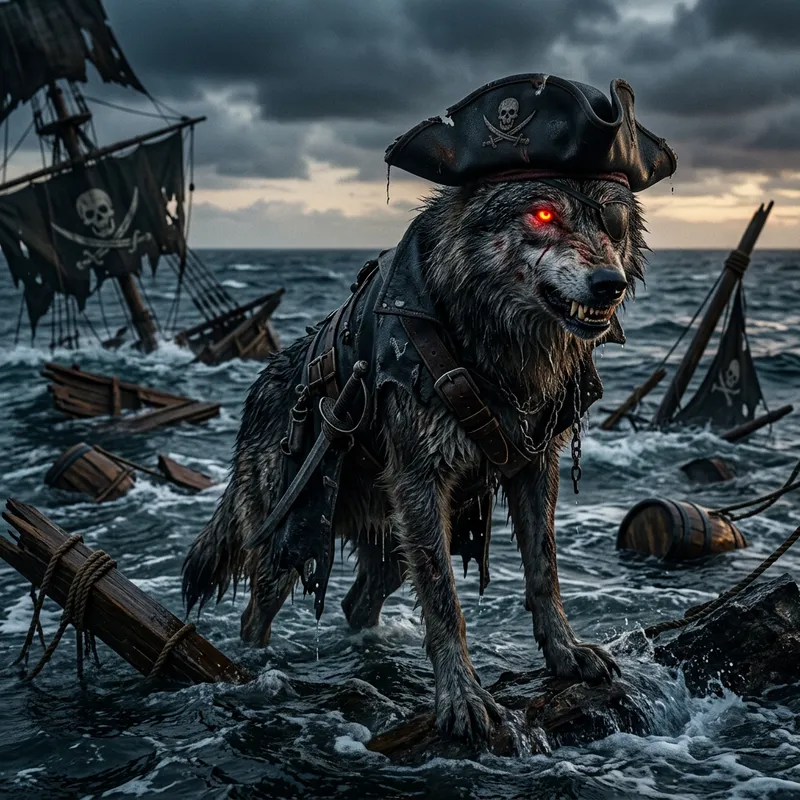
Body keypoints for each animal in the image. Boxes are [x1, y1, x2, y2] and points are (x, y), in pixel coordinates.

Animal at [182, 173, 646, 743]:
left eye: (614, 222)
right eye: (542, 215)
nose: (609, 283)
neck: (494, 349)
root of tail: (254, 396)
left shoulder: (535, 469)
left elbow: (544, 569)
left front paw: (565, 653)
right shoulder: (423, 479)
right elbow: (445, 601)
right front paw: (462, 698)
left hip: (394, 544)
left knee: (356, 602)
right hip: (291, 544)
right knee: (255, 616)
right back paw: (256, 672)